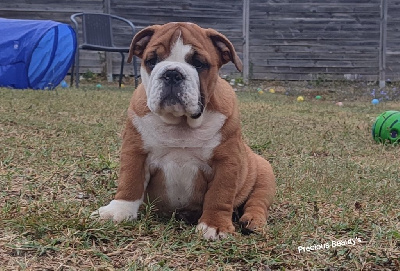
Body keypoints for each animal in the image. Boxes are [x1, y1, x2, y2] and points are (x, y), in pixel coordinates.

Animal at [93, 22, 276, 240]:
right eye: (152, 61)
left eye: (199, 63)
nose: (172, 73)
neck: (181, 123)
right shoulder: (135, 152)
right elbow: (130, 181)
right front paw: (118, 210)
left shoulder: (226, 161)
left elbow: (219, 194)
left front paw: (215, 225)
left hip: (265, 174)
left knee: (257, 202)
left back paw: (253, 221)